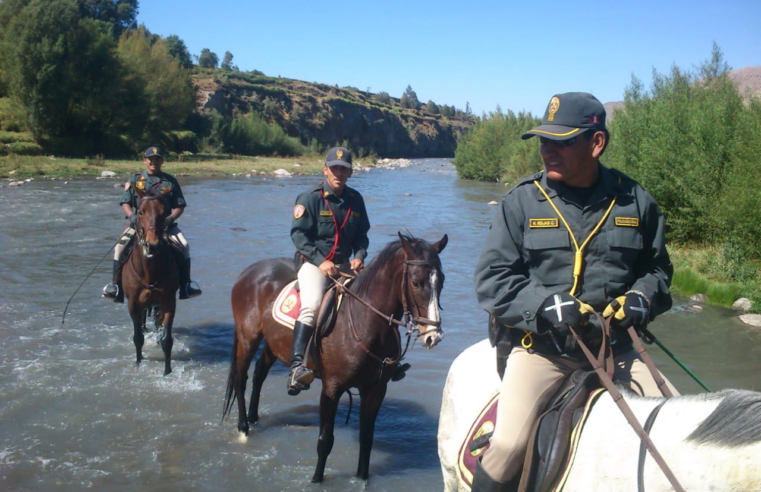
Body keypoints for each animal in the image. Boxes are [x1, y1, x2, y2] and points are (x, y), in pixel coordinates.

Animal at [122, 186, 180, 374]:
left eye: (165, 212)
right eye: (140, 211)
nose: (152, 245)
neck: (149, 271)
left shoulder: (169, 302)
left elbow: (167, 340)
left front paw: (167, 371)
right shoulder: (133, 305)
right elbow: (138, 338)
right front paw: (139, 362)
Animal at [221, 233, 446, 482]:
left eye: (441, 281)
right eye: (416, 282)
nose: (434, 336)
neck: (365, 321)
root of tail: (250, 271)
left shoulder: (375, 389)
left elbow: (366, 439)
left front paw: (361, 479)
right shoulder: (331, 388)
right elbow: (325, 441)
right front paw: (316, 480)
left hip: (274, 342)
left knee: (260, 373)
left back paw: (253, 417)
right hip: (248, 338)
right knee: (241, 378)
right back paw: (243, 428)